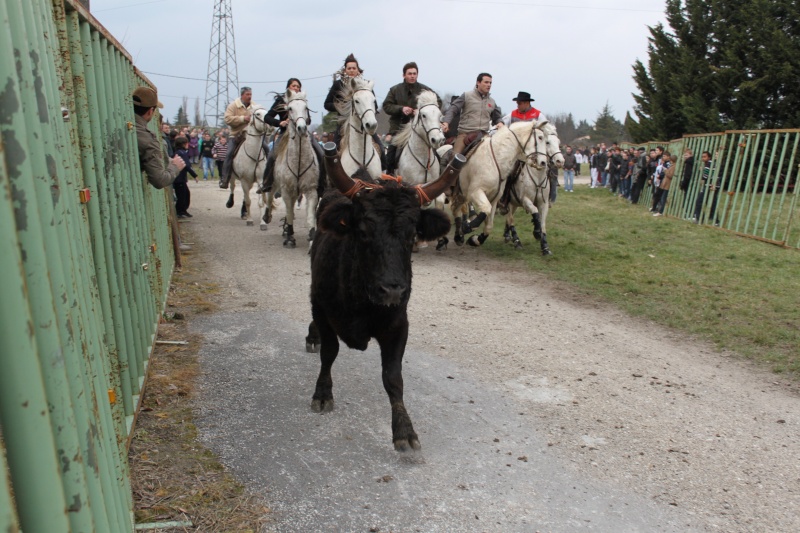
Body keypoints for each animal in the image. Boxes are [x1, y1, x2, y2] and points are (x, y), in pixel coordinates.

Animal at [268, 90, 320, 248]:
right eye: (289, 108)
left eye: (305, 107)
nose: (302, 128)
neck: (298, 162)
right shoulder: (286, 190)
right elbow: (289, 213)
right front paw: (290, 237)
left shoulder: (311, 190)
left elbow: (310, 216)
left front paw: (312, 238)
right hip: (276, 184)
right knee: (271, 197)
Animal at [306, 141, 468, 448]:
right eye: (363, 230)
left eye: (412, 234)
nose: (393, 289)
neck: (360, 300)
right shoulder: (321, 309)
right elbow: (329, 352)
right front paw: (322, 394)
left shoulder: (398, 325)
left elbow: (393, 377)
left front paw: (404, 430)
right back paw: (312, 337)